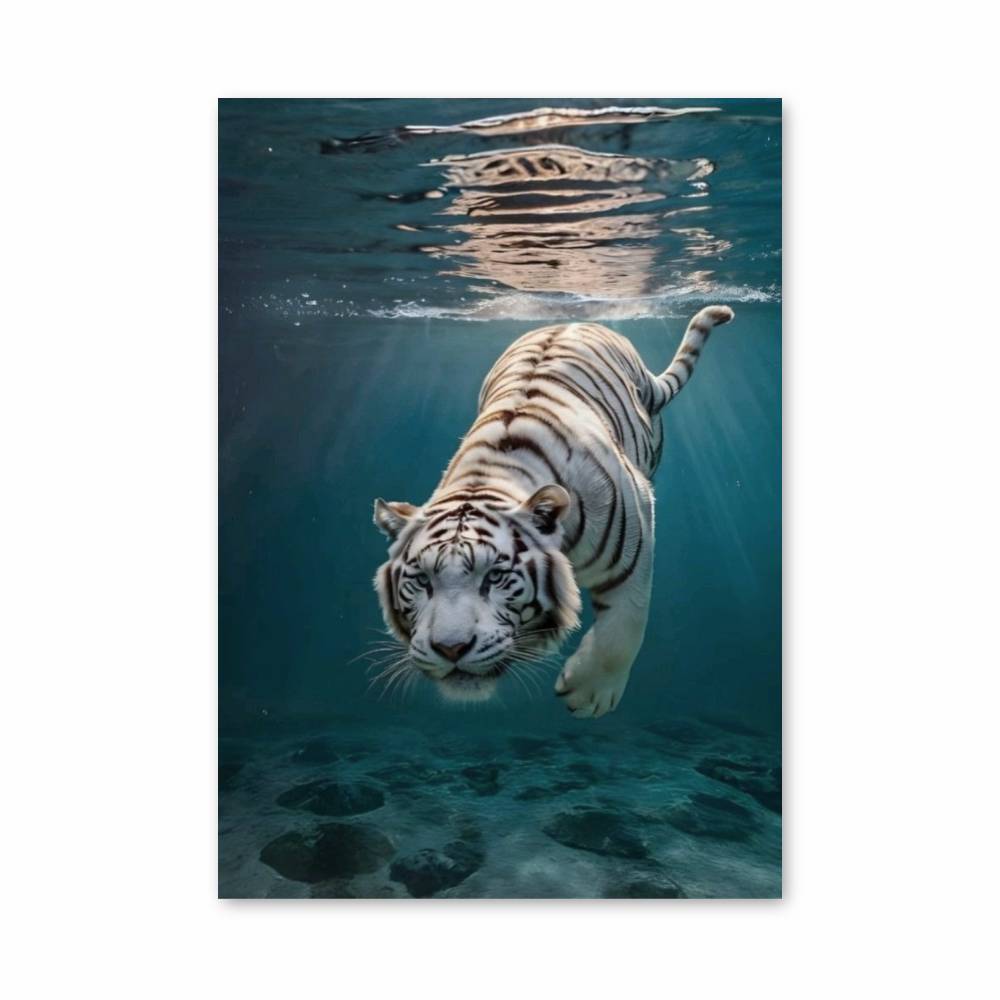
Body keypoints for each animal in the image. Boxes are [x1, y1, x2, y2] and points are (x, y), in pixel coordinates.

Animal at [373, 304, 734, 718]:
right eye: (421, 581)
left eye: (495, 577)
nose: (450, 649)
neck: (486, 476)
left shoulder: (637, 527)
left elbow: (627, 619)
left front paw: (590, 694)